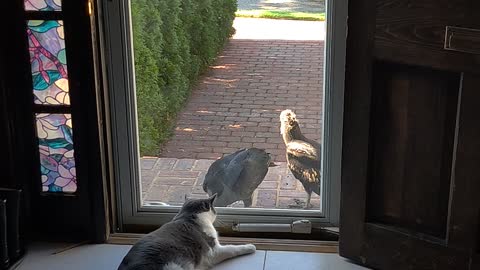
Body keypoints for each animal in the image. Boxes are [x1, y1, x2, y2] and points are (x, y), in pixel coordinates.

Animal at [118, 194, 256, 270]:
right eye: (214, 210)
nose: (217, 213)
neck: (189, 216)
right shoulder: (214, 251)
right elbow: (233, 248)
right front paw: (250, 246)